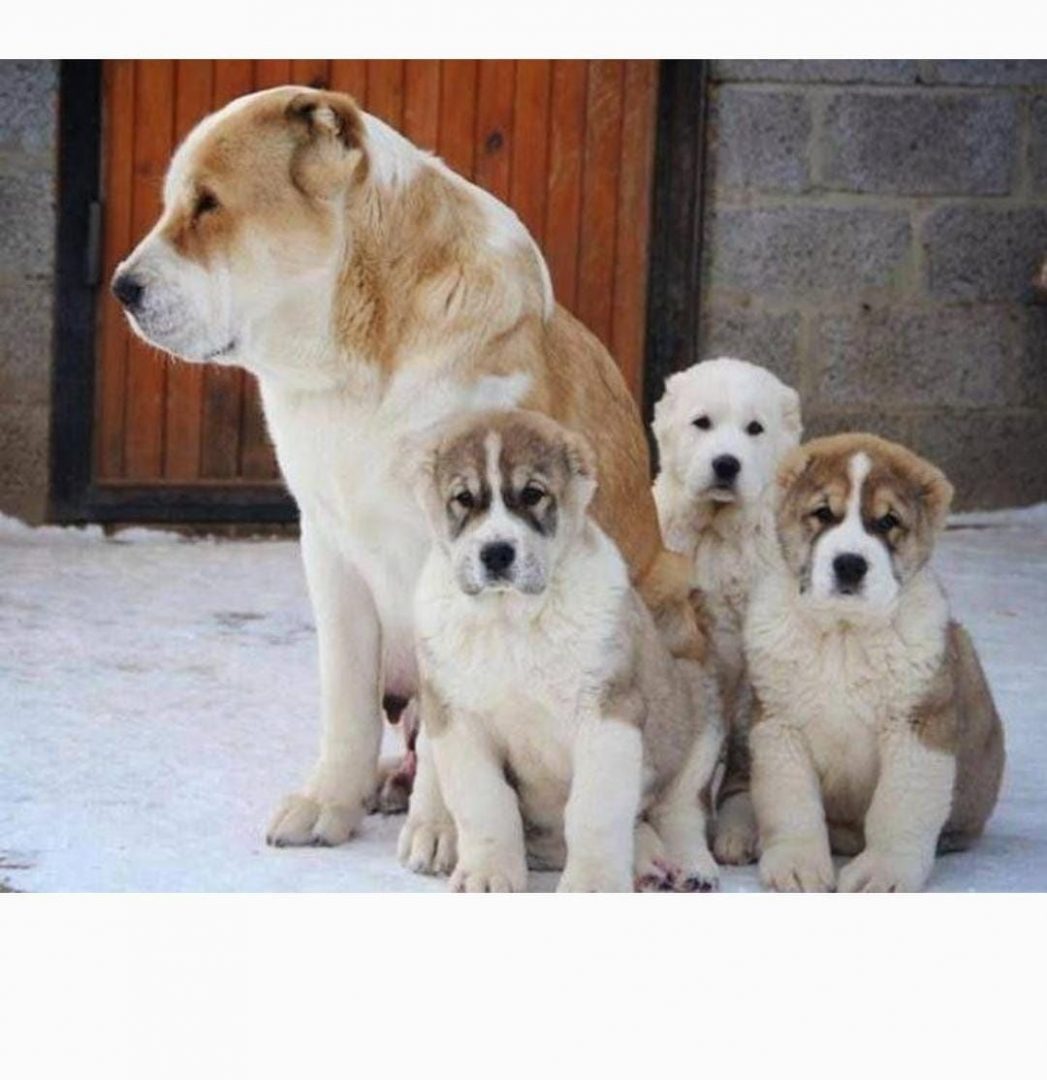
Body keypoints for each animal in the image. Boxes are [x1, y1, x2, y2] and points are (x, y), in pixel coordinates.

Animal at [108, 86, 704, 859]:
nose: (121, 288)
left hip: (668, 601)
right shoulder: (327, 547)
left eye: (208, 204)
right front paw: (329, 803)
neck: (360, 361)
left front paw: (444, 830)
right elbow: (346, 696)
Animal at [412, 408, 721, 889]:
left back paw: (689, 866)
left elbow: (594, 811)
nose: (496, 553)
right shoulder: (456, 718)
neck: (512, 620)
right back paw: (648, 862)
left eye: (533, 494)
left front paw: (593, 884)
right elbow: (485, 803)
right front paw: (488, 873)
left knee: (681, 809)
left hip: (698, 706)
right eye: (463, 498)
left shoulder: (608, 713)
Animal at [743, 432, 1007, 894]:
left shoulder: (918, 726)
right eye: (823, 513)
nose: (850, 563)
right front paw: (796, 864)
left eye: (887, 522)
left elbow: (899, 806)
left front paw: (884, 871)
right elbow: (790, 802)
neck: (843, 637)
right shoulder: (779, 726)